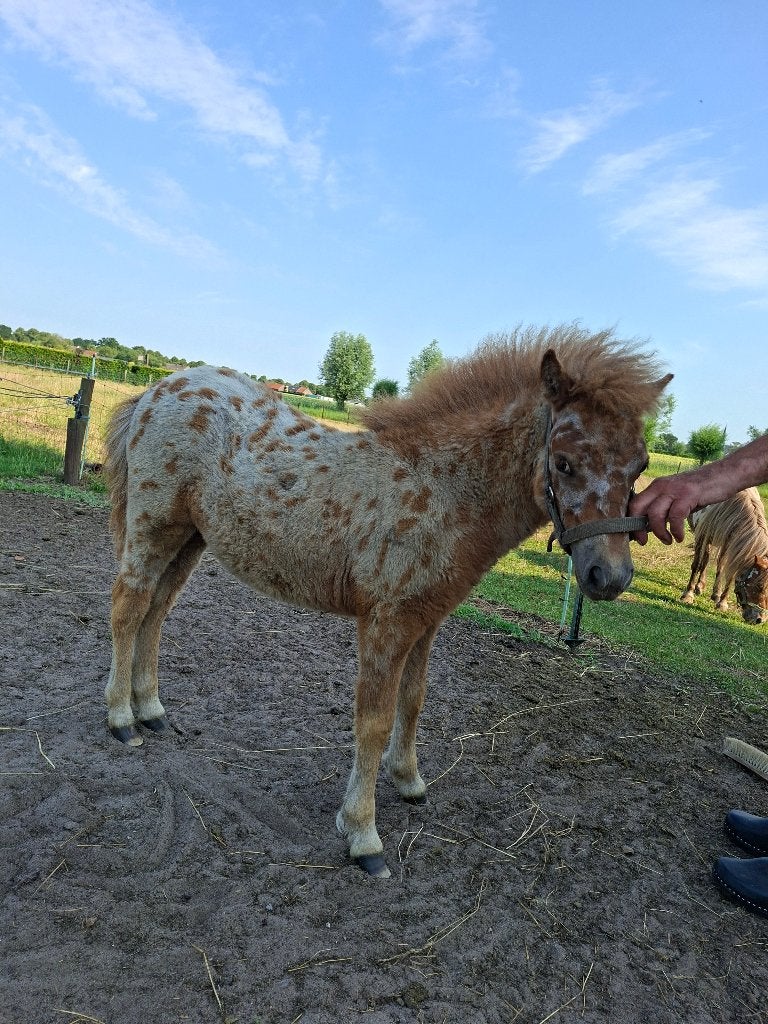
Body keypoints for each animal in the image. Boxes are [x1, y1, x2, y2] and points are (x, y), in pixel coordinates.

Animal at [103, 323, 672, 878]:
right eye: (565, 462)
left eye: (640, 463)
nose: (610, 575)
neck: (440, 490)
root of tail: (156, 390)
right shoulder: (386, 623)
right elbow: (373, 722)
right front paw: (363, 834)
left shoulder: (427, 620)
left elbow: (413, 701)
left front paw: (409, 780)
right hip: (154, 528)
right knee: (128, 609)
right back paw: (121, 720)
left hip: (189, 540)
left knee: (156, 612)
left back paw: (151, 709)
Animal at [681, 488, 768, 624]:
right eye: (759, 586)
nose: (760, 619)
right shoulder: (702, 535)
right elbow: (696, 565)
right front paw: (687, 595)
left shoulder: (731, 543)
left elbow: (728, 573)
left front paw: (722, 602)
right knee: (704, 560)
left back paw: (709, 591)